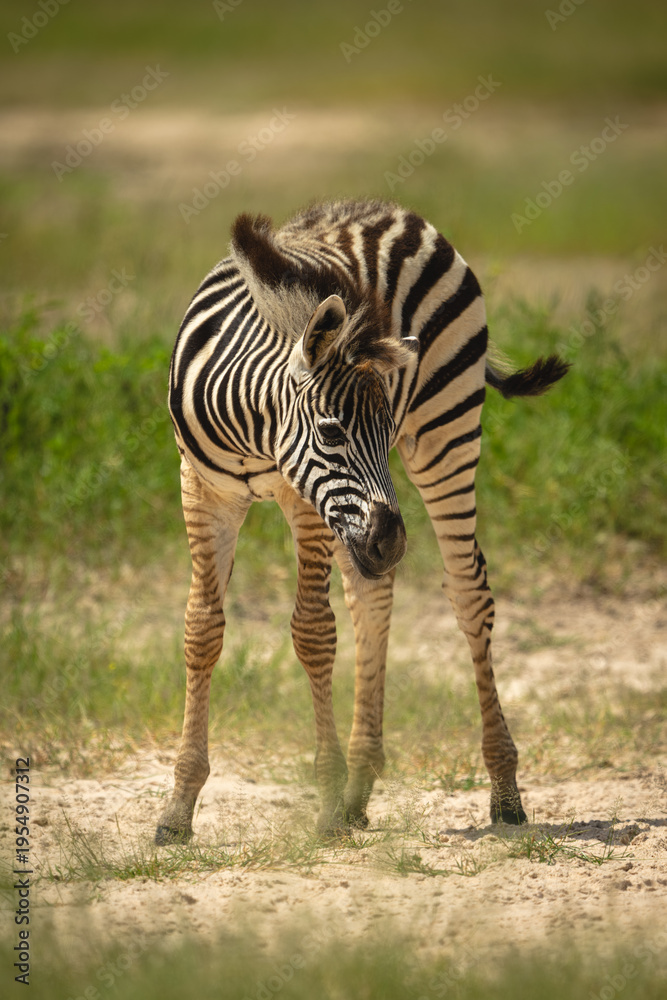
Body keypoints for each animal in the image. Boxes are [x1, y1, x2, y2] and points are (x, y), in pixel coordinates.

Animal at [155, 199, 568, 844]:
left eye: (378, 429)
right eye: (331, 432)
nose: (392, 541)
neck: (251, 429)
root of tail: (390, 211)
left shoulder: (306, 502)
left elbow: (313, 633)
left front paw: (324, 797)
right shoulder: (202, 489)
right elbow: (201, 630)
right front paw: (178, 809)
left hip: (446, 434)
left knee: (469, 594)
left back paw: (503, 793)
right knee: (372, 597)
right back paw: (359, 789)